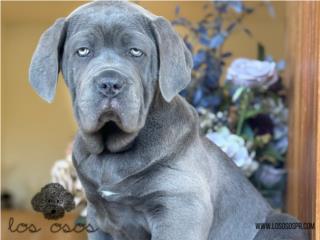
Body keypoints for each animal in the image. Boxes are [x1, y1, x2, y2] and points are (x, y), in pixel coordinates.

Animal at [28, 0, 308, 239]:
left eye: (136, 52)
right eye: (83, 51)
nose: (110, 83)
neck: (112, 151)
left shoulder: (180, 208)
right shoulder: (100, 220)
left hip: (282, 223)